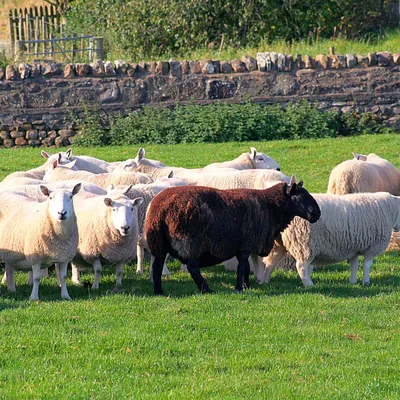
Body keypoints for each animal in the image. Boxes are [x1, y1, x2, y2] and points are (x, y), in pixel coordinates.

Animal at [253, 193, 400, 288]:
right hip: (304, 243)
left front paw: (353, 282)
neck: (391, 210)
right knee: (301, 266)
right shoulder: (372, 247)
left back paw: (264, 281)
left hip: (279, 243)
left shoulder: (353, 248)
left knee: (271, 262)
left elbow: (354, 265)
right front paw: (366, 282)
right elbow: (366, 266)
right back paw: (309, 285)